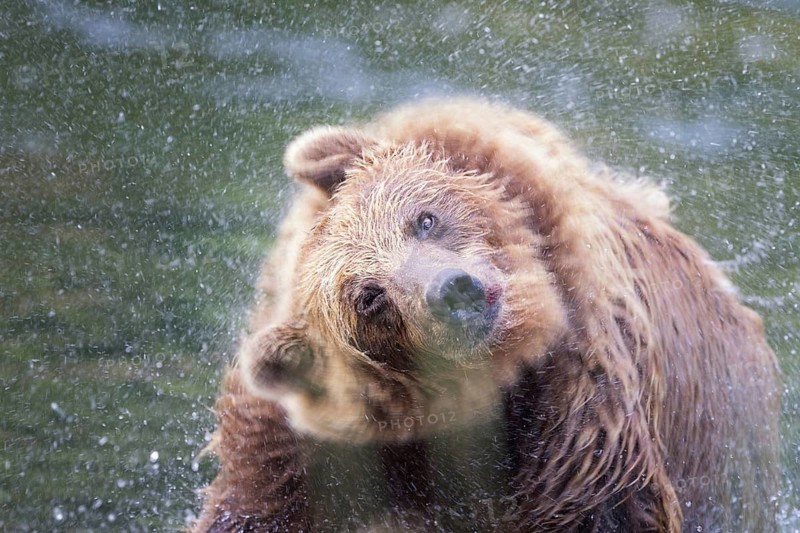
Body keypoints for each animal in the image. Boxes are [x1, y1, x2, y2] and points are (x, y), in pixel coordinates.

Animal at [192, 99, 781, 532]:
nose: (453, 291)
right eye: (370, 297)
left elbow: (603, 503)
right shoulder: (307, 450)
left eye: (424, 219)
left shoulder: (582, 401)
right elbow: (251, 503)